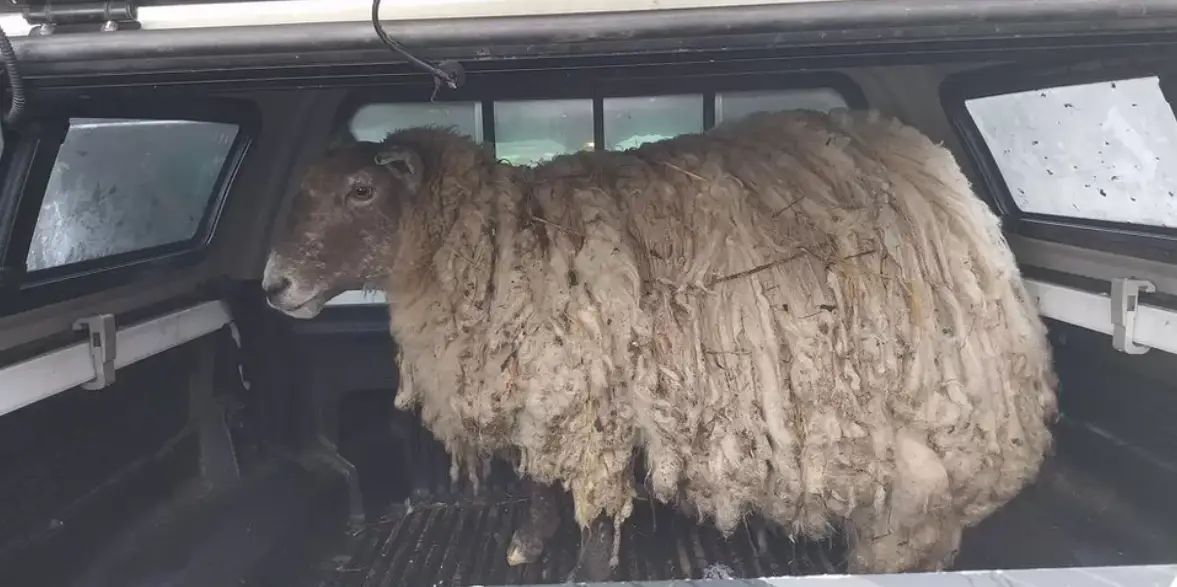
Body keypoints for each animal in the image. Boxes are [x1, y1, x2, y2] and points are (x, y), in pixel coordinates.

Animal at [262, 108, 1059, 581]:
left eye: (362, 190)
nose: (273, 285)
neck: (494, 243)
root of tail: (945, 178)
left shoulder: (590, 403)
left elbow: (589, 503)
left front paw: (584, 567)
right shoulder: (538, 390)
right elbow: (535, 481)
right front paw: (526, 544)